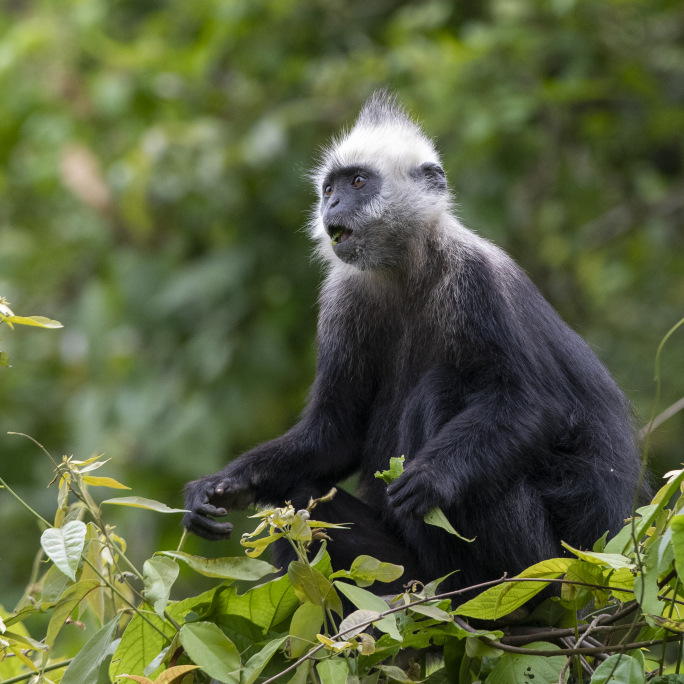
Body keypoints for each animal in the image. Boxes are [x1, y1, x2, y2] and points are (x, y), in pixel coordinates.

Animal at [183, 92, 648, 600]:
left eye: (358, 182)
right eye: (329, 189)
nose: (333, 204)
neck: (404, 269)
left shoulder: (475, 279)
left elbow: (531, 404)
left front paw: (434, 478)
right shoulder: (345, 298)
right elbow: (334, 434)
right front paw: (223, 485)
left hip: (561, 553)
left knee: (443, 394)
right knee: (301, 502)